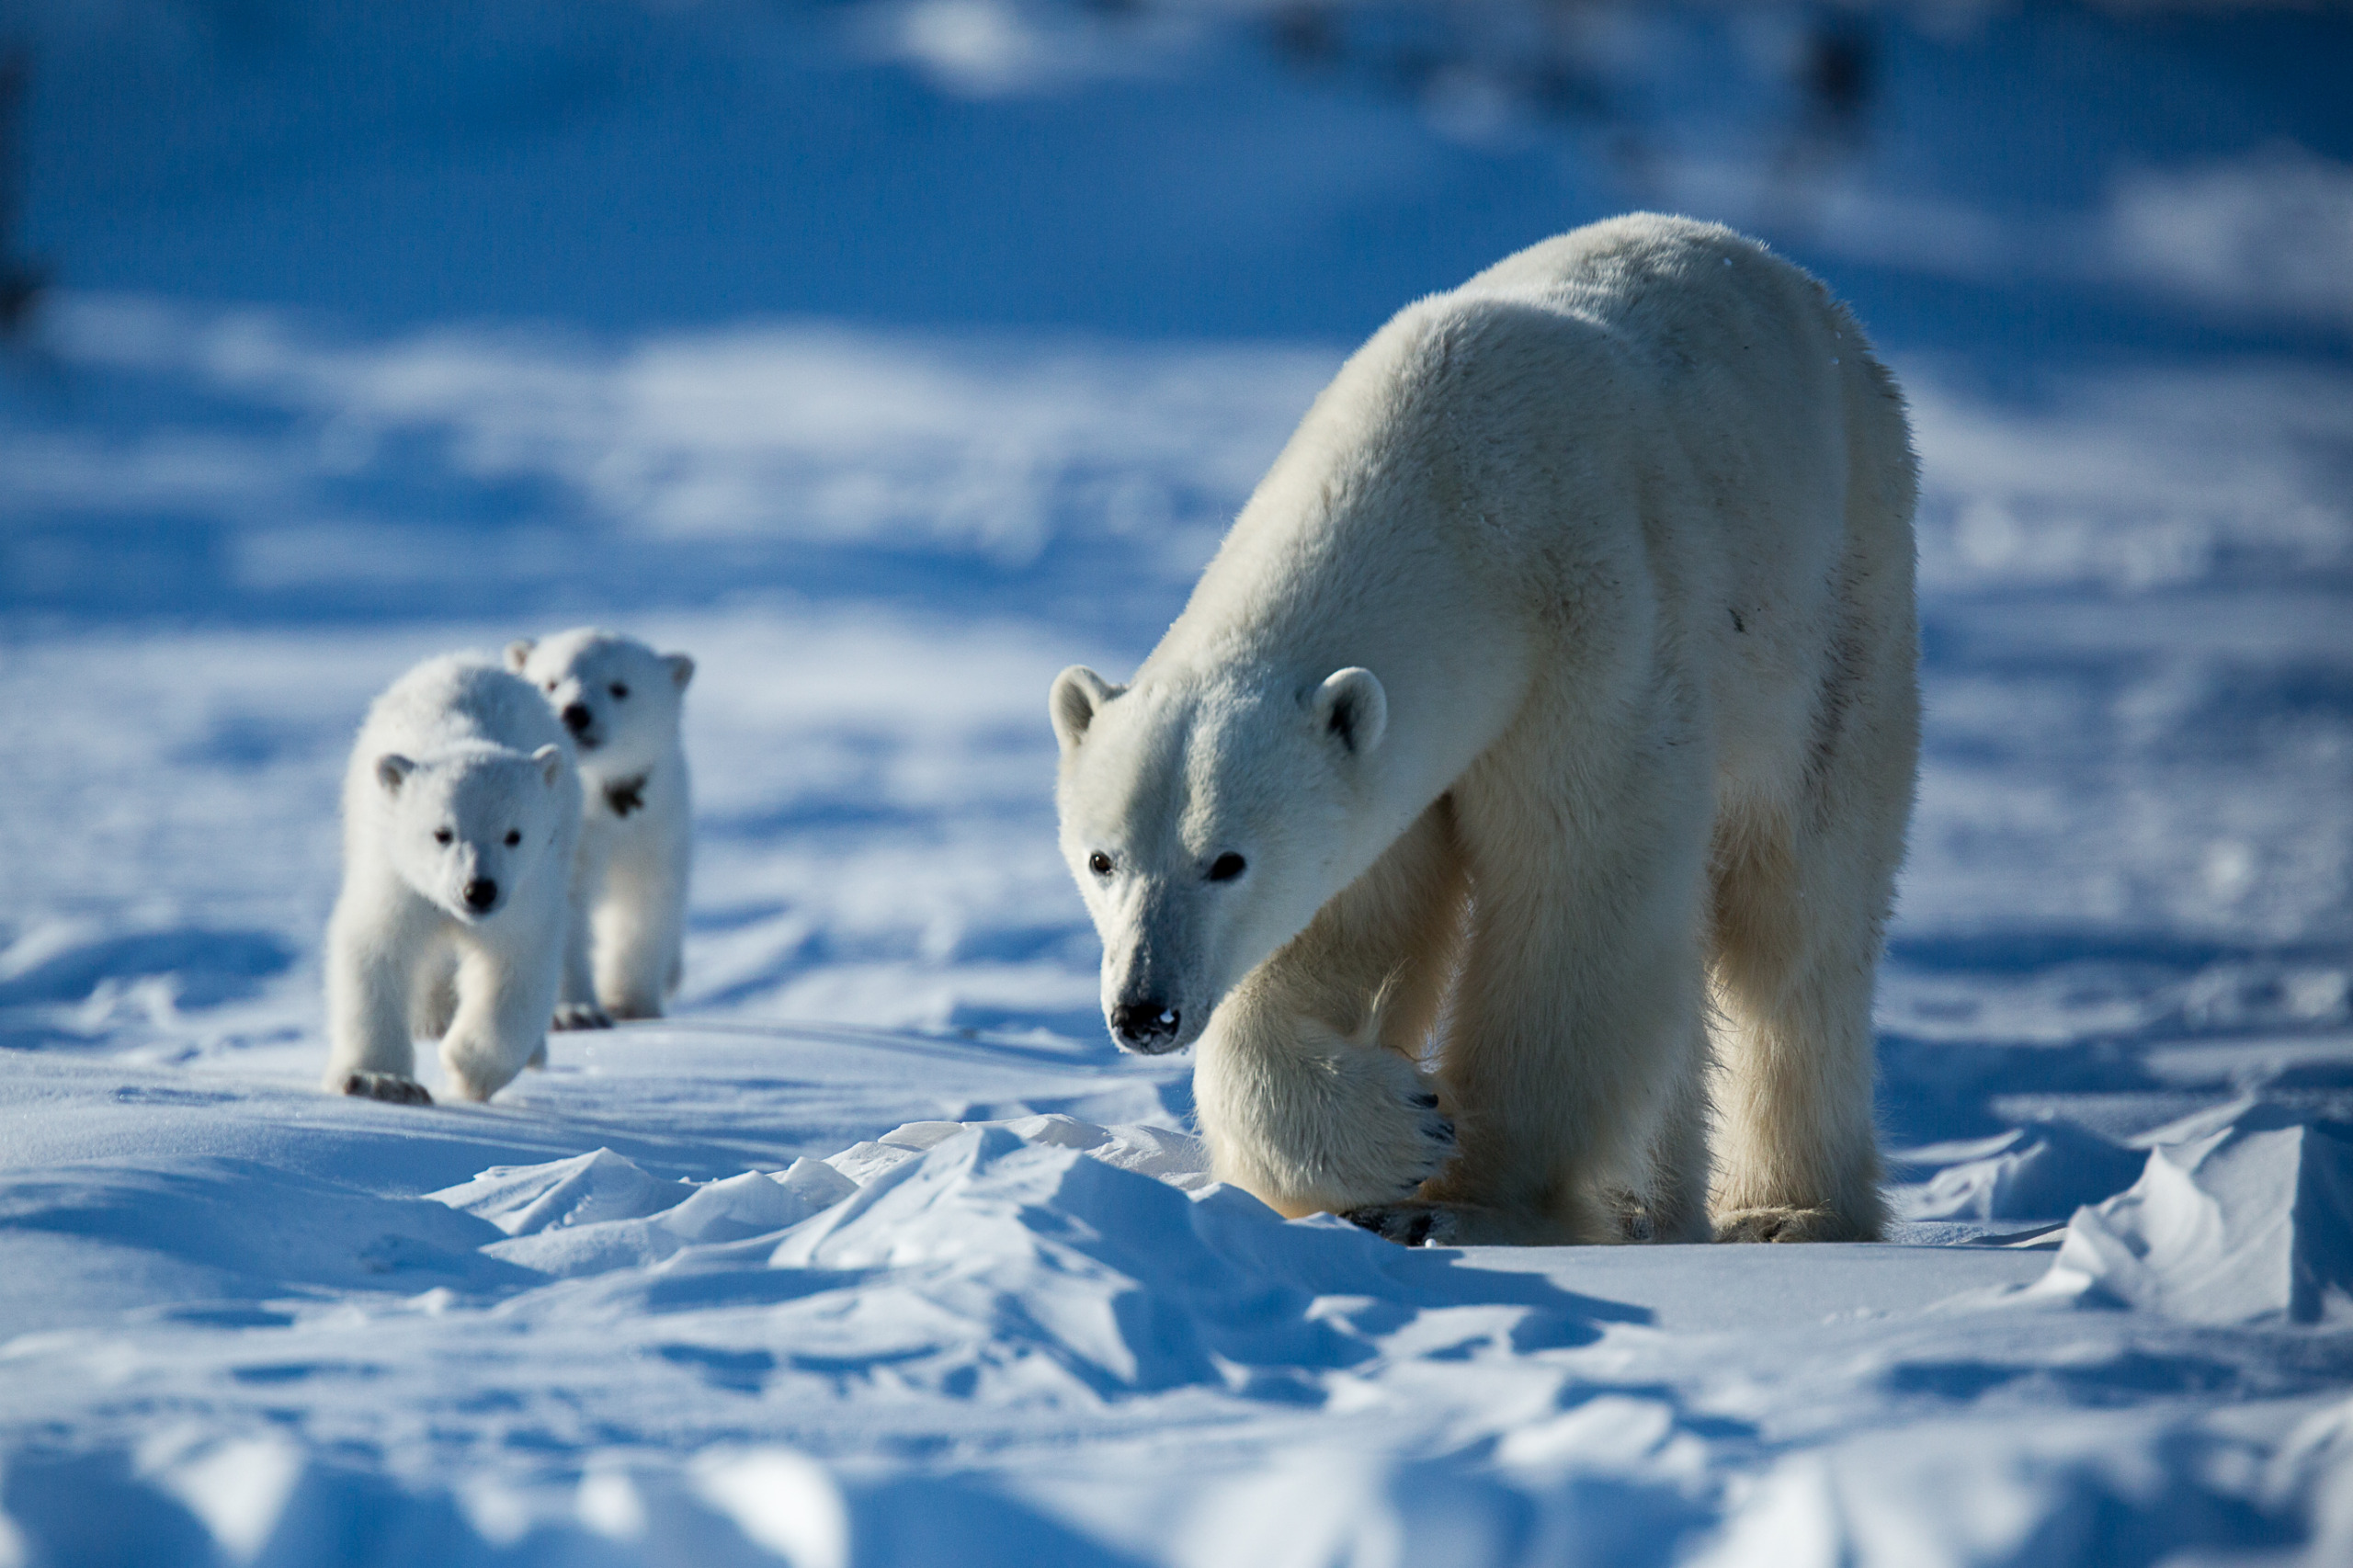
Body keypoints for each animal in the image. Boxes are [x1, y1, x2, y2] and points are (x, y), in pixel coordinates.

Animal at [324, 644, 581, 1096]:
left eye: (513, 835)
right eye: (442, 833)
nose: (478, 890)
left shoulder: (526, 894)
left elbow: (516, 965)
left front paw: (466, 1068)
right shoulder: (398, 879)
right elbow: (376, 947)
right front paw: (376, 1077)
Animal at [510, 626, 691, 1026]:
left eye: (619, 687)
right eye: (551, 682)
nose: (575, 712)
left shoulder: (652, 823)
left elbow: (645, 904)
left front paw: (630, 1004)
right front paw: (574, 1013)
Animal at [1059, 216, 1919, 1243]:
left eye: (1225, 860)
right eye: (1102, 859)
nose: (1143, 1010)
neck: (1451, 487)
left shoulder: (1595, 632)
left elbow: (1580, 891)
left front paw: (1471, 1202)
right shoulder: (1398, 759)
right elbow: (1349, 926)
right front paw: (1396, 1128)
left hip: (1839, 612)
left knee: (1800, 919)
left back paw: (1789, 1210)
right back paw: (1651, 1205)